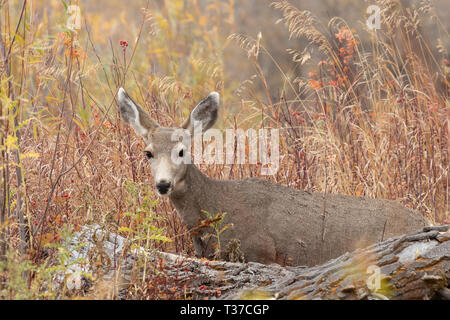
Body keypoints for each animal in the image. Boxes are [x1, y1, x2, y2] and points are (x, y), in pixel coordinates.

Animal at [117, 89, 428, 266]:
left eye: (182, 151)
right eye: (147, 152)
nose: (163, 184)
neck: (213, 207)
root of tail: (424, 220)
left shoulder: (262, 251)